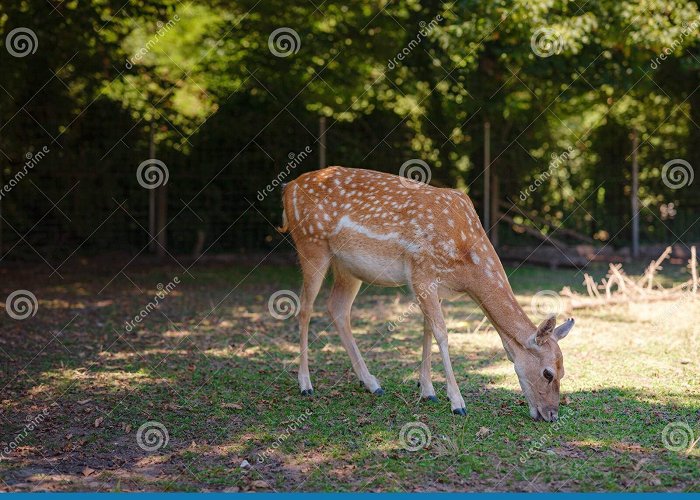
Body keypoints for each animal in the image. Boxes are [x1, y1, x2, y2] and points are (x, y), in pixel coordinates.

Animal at [278, 167, 576, 422]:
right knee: (304, 308)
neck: (466, 263)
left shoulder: (435, 285)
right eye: (548, 373)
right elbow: (442, 333)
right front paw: (457, 402)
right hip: (311, 244)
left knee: (337, 308)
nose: (552, 415)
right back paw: (306, 384)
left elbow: (428, 331)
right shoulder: (422, 273)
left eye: (563, 370)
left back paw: (372, 383)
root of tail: (288, 187)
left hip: (348, 268)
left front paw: (428, 391)